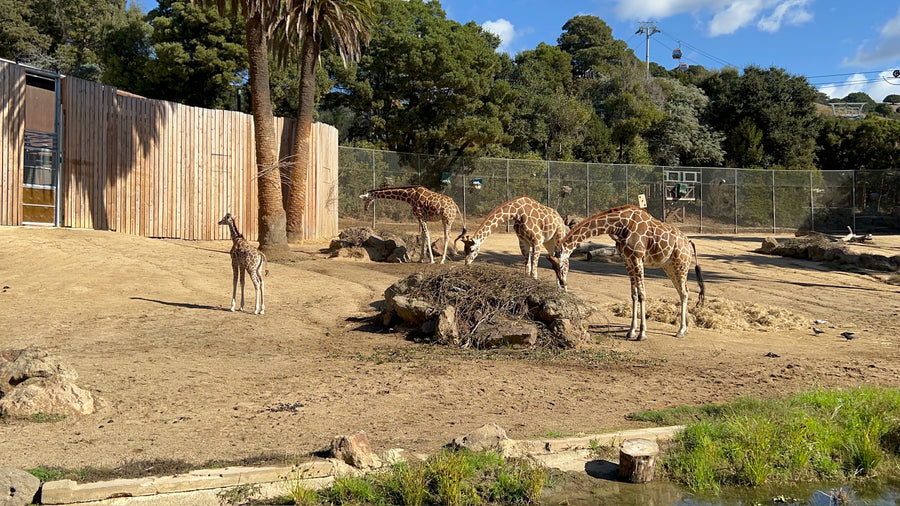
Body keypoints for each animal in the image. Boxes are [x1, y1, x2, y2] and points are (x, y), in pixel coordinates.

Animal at [548, 205, 704, 340]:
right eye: (553, 268)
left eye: (561, 265)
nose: (562, 283)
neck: (621, 225)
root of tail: (689, 242)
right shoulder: (628, 260)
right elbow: (634, 295)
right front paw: (631, 331)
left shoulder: (637, 259)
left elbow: (642, 295)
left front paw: (642, 334)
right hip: (669, 266)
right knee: (683, 291)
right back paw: (685, 328)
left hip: (681, 264)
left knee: (684, 292)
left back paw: (681, 330)